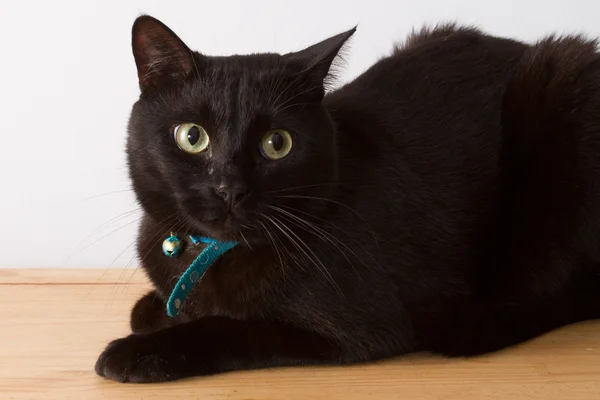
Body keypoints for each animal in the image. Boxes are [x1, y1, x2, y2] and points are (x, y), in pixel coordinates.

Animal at [94, 15, 600, 382]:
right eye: (192, 136)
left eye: (277, 144)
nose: (230, 188)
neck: (212, 255)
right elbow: (156, 308)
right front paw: (156, 311)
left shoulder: (354, 329)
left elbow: (227, 328)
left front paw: (141, 352)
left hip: (560, 92)